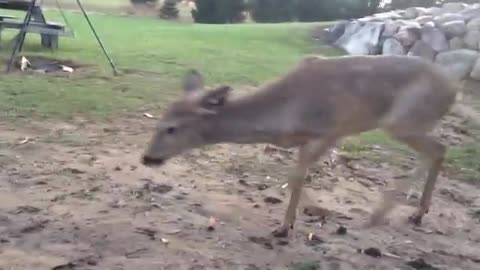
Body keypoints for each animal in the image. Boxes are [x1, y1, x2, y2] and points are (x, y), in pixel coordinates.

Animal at [141, 54, 474, 238]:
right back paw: (416, 213)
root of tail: (455, 89)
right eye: (159, 122)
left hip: (403, 119)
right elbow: (297, 177)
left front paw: (285, 227)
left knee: (436, 149)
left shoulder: (329, 131)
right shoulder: (307, 140)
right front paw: (309, 212)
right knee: (440, 149)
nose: (147, 158)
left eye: (171, 128)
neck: (284, 114)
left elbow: (296, 176)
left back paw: (385, 215)